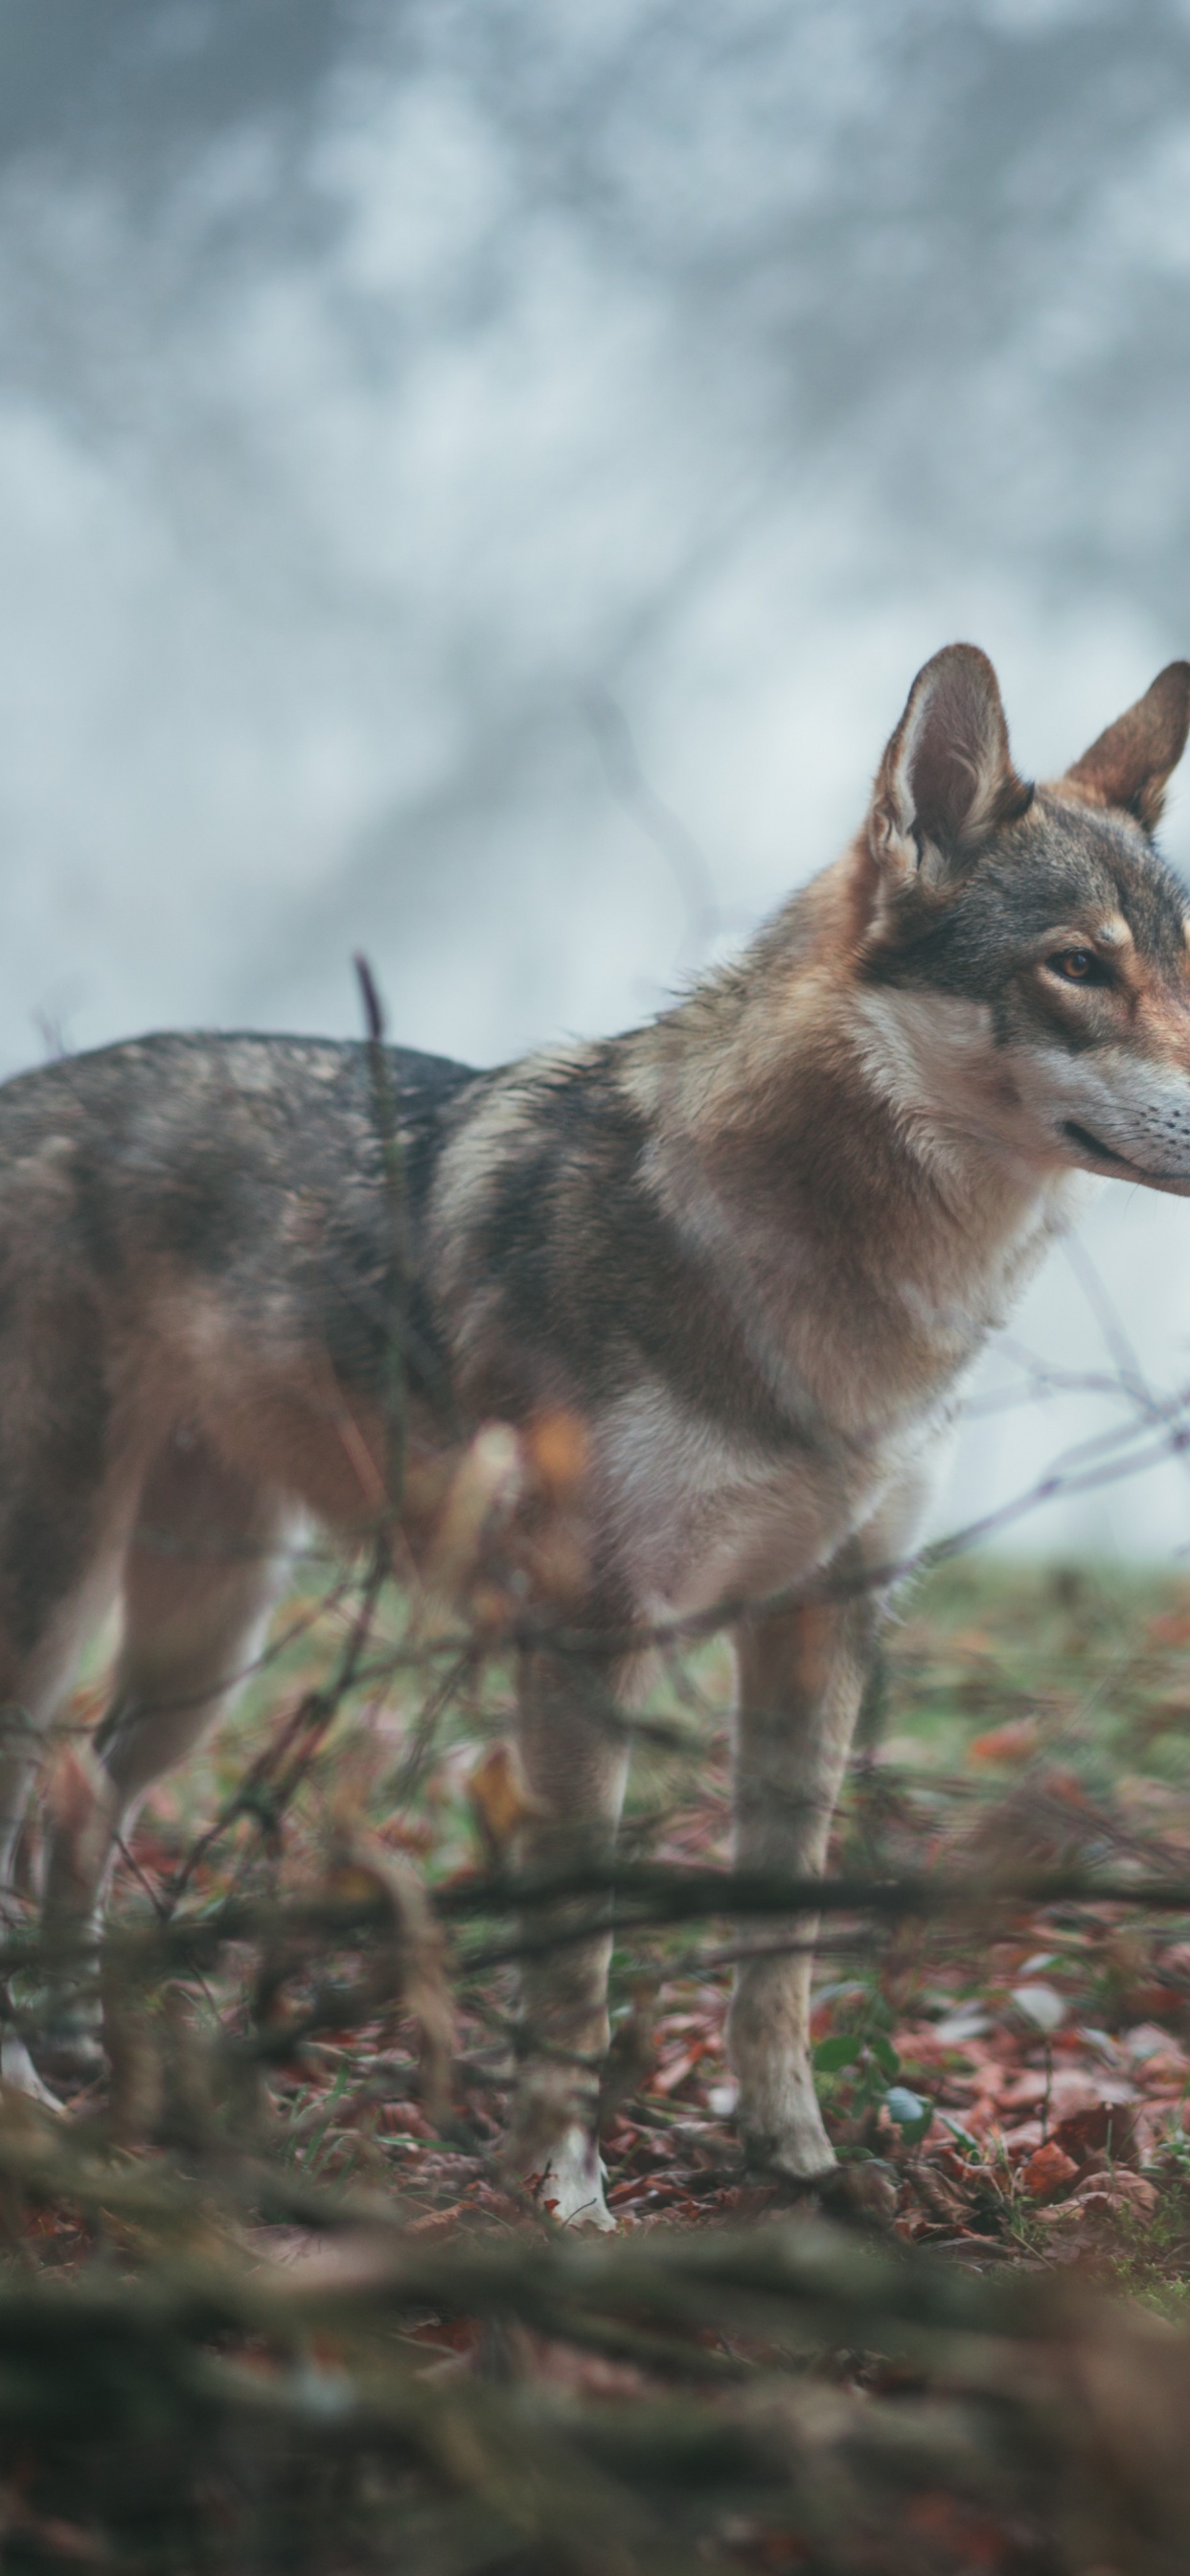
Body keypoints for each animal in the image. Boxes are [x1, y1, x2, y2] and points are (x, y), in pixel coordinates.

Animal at [0, 642, 1186, 2225]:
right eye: (1076, 965)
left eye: (1183, 964)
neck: (823, 1281)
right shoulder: (583, 1638)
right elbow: (576, 1957)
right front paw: (562, 2192)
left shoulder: (820, 1625)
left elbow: (777, 1943)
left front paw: (797, 2165)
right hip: (64, 1593)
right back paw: (24, 2092)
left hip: (207, 1644)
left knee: (76, 1798)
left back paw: (76, 2040)